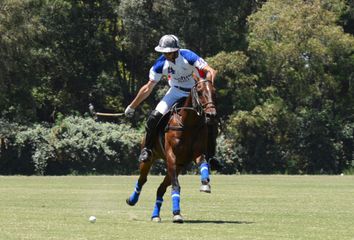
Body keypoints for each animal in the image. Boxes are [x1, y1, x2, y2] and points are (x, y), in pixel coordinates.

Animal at [126, 79, 217, 223]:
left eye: (214, 92)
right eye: (200, 92)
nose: (211, 115)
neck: (189, 123)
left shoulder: (196, 153)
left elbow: (203, 163)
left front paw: (205, 184)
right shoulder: (171, 156)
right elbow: (176, 186)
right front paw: (177, 214)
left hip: (178, 166)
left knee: (160, 188)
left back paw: (155, 215)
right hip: (151, 159)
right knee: (142, 179)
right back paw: (132, 199)